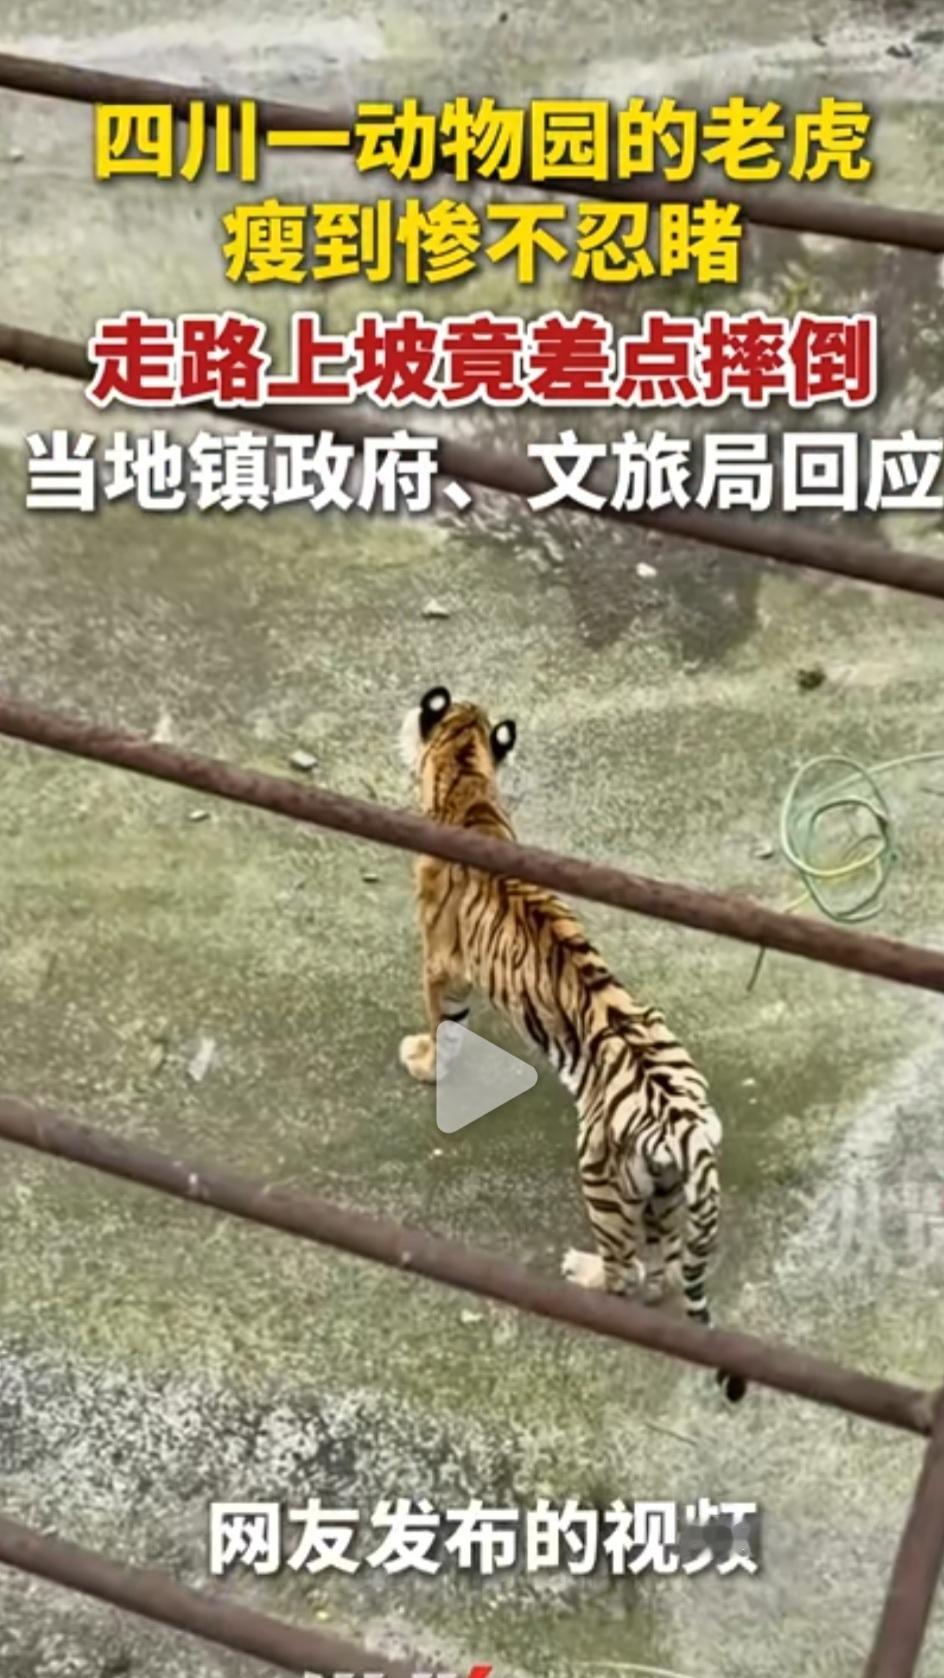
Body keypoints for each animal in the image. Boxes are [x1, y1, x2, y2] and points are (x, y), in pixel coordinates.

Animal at [398, 684, 745, 1404]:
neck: (468, 783)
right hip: (666, 1194)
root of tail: (686, 1127)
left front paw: (422, 1061)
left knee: (625, 1273)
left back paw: (582, 1272)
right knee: (662, 1274)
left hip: (600, 1176)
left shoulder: (442, 962)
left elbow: (441, 1020)